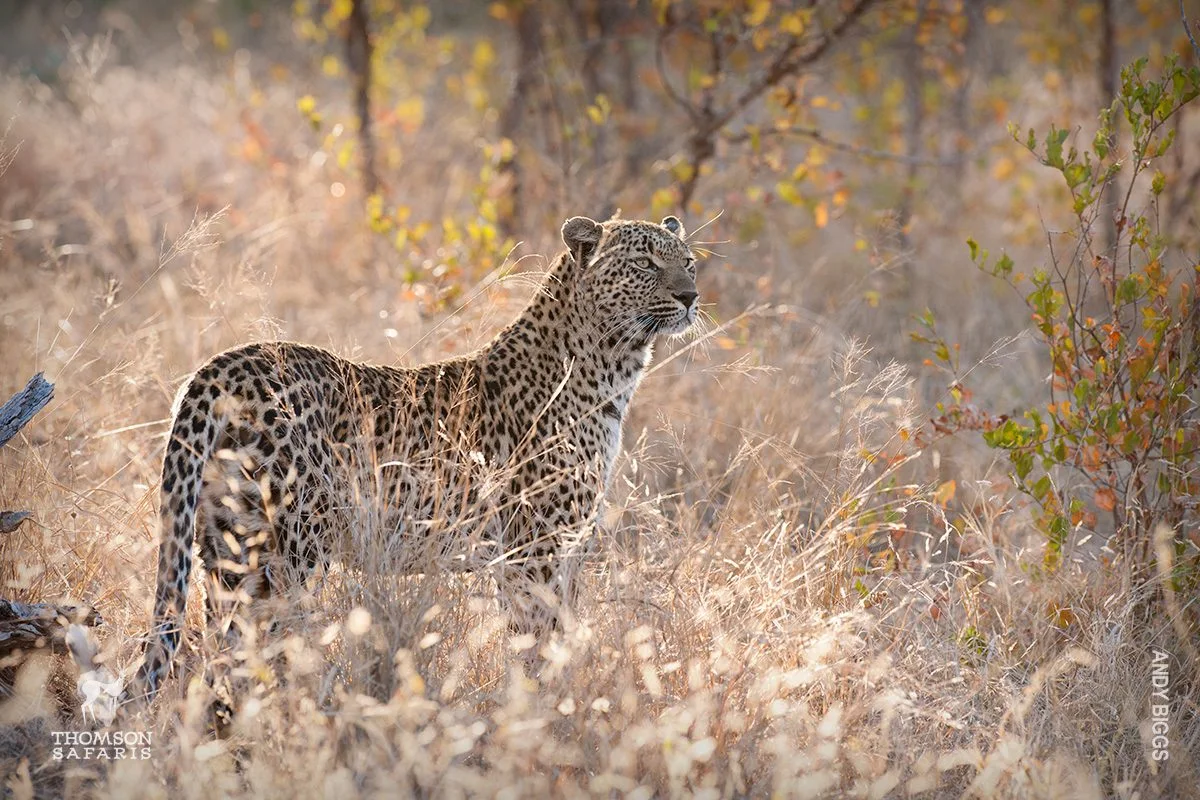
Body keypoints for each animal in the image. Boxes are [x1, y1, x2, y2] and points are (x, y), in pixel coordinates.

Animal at [128, 214, 700, 704]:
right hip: (289, 553)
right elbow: (538, 643)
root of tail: (220, 368)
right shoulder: (536, 553)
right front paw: (545, 714)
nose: (691, 296)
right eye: (645, 263)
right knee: (253, 655)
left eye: (689, 262)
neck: (612, 369)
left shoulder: (559, 551)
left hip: (227, 549)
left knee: (211, 657)